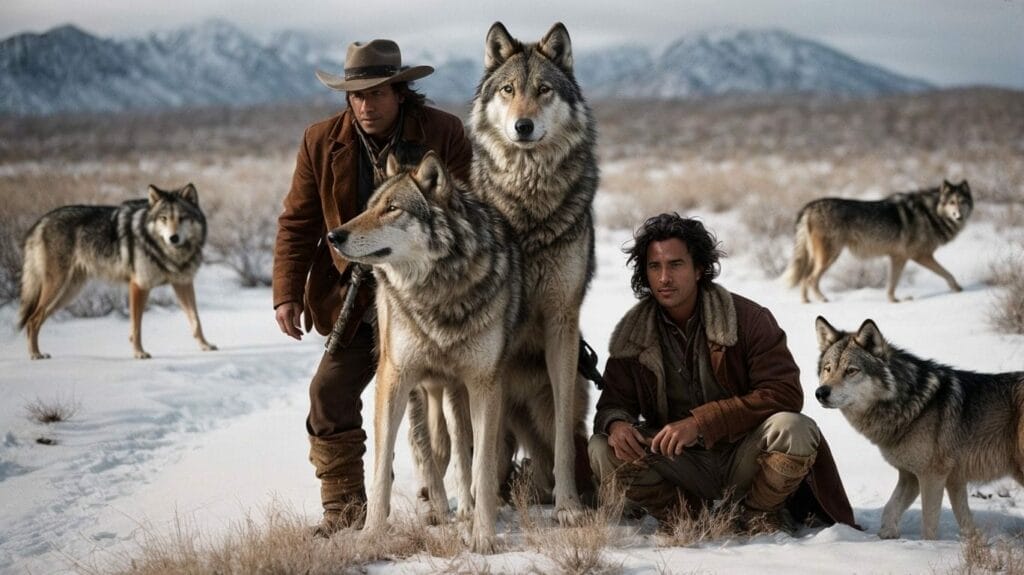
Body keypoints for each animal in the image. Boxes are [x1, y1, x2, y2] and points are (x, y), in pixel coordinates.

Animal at [18, 184, 217, 359]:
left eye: (182, 218)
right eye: (164, 218)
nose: (173, 238)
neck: (169, 252)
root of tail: (40, 222)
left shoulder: (183, 283)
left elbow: (196, 320)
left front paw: (205, 345)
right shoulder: (139, 286)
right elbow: (137, 326)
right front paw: (139, 353)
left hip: (68, 293)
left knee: (35, 319)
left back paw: (36, 352)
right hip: (57, 288)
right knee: (32, 320)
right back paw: (35, 354)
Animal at [327, 152, 523, 553]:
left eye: (392, 209)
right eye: (368, 207)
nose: (334, 236)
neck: (438, 291)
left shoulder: (484, 382)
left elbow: (481, 464)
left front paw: (483, 536)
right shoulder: (394, 377)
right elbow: (382, 464)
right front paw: (370, 535)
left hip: (455, 389)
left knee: (459, 446)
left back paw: (462, 508)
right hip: (425, 386)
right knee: (428, 446)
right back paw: (437, 506)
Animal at [470, 21, 598, 524]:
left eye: (543, 90)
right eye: (508, 90)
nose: (522, 126)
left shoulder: (562, 320)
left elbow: (563, 438)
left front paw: (569, 508)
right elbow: (484, 448)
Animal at [785, 180, 973, 303]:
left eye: (962, 202)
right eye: (952, 202)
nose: (958, 216)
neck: (929, 213)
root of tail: (810, 206)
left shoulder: (898, 257)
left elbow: (892, 284)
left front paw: (894, 300)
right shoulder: (919, 256)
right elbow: (947, 273)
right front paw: (958, 289)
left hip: (819, 258)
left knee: (804, 279)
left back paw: (806, 302)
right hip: (829, 257)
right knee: (810, 279)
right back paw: (823, 300)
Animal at [814, 316, 1024, 540]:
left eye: (851, 371)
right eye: (828, 369)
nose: (821, 392)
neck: (907, 404)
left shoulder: (932, 475)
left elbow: (929, 524)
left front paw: (928, 546)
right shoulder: (913, 476)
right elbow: (890, 510)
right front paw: (888, 536)